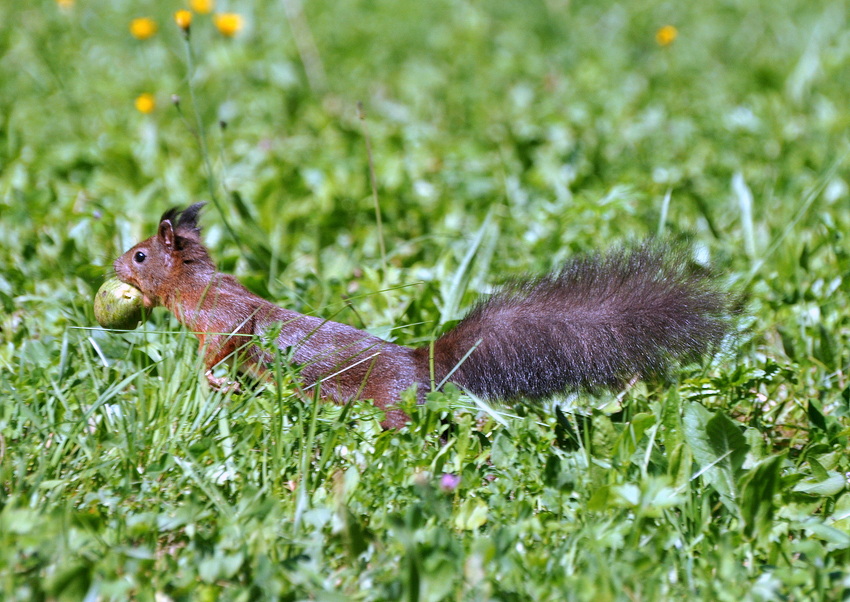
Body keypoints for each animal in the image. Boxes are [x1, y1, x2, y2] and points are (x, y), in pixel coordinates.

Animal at [112, 203, 732, 426]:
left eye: (141, 255)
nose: (112, 266)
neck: (197, 286)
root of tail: (423, 365)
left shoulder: (225, 320)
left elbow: (222, 348)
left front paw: (214, 380)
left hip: (389, 407)